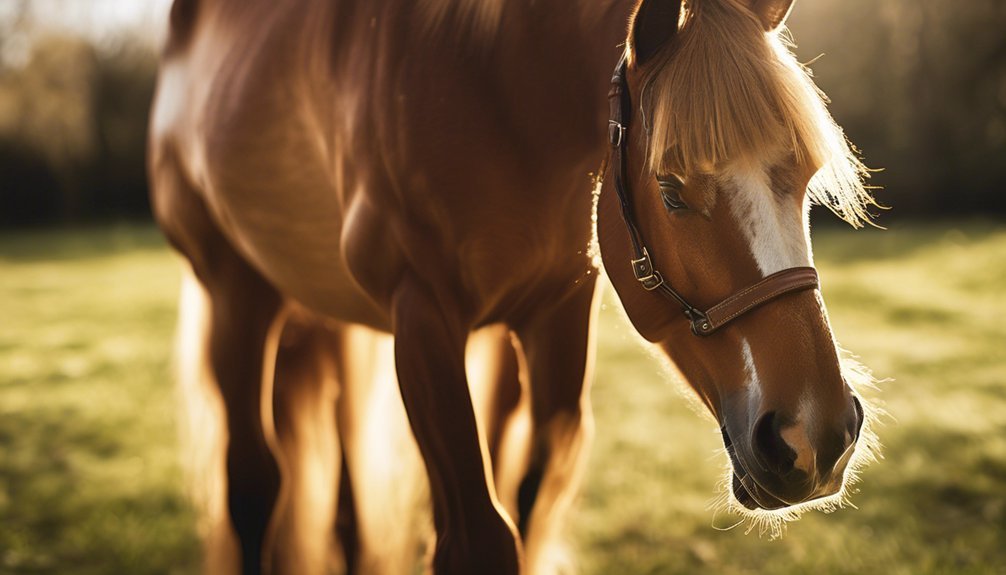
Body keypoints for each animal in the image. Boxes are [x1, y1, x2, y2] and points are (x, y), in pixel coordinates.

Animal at [148, 0, 881, 570]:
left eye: (806, 176)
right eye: (671, 190)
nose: (816, 437)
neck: (494, 83)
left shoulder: (556, 313)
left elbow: (527, 500)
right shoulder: (422, 315)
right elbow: (480, 538)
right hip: (235, 291)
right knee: (251, 485)